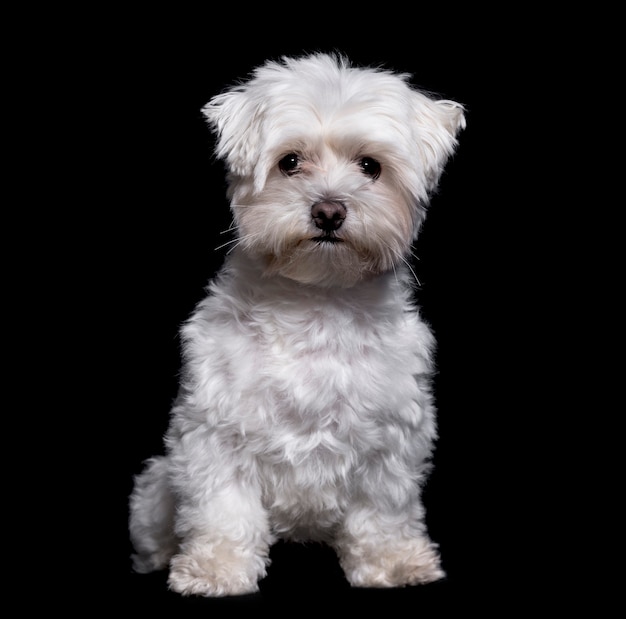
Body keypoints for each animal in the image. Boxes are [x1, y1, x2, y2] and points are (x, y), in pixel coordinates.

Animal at [128, 52, 464, 596]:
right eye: (289, 162)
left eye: (370, 166)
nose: (329, 211)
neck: (315, 303)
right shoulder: (215, 435)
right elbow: (223, 510)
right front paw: (216, 568)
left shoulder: (390, 440)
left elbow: (384, 512)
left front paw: (392, 563)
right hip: (158, 483)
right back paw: (159, 554)